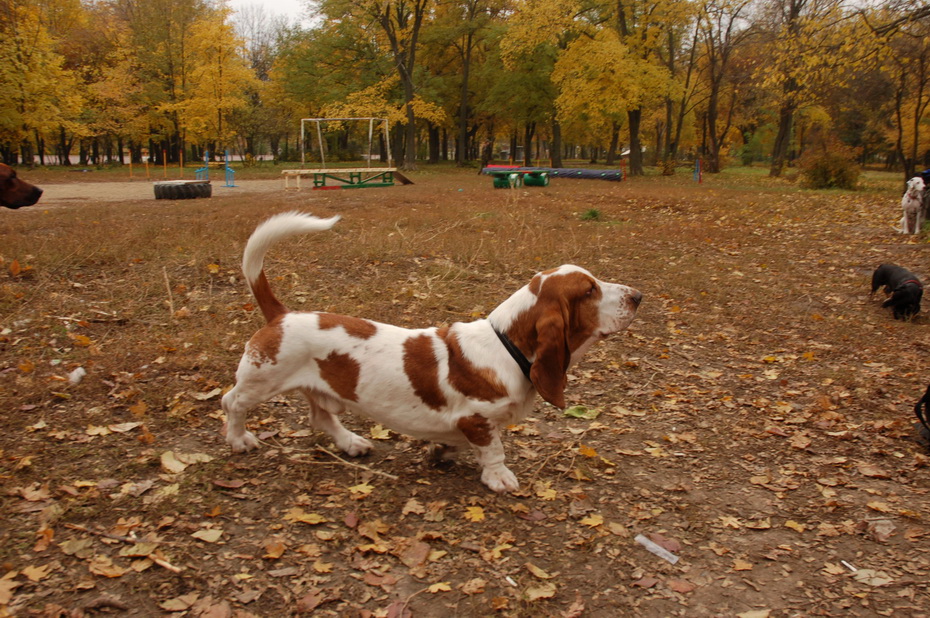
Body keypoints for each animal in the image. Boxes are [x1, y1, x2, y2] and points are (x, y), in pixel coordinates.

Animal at [224, 212, 640, 490]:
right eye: (589, 290)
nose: (638, 296)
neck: (506, 347)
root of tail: (281, 314)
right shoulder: (478, 419)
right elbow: (494, 449)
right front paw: (499, 477)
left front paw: (443, 453)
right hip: (262, 380)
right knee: (233, 402)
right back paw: (239, 440)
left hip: (321, 389)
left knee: (322, 418)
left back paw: (352, 443)